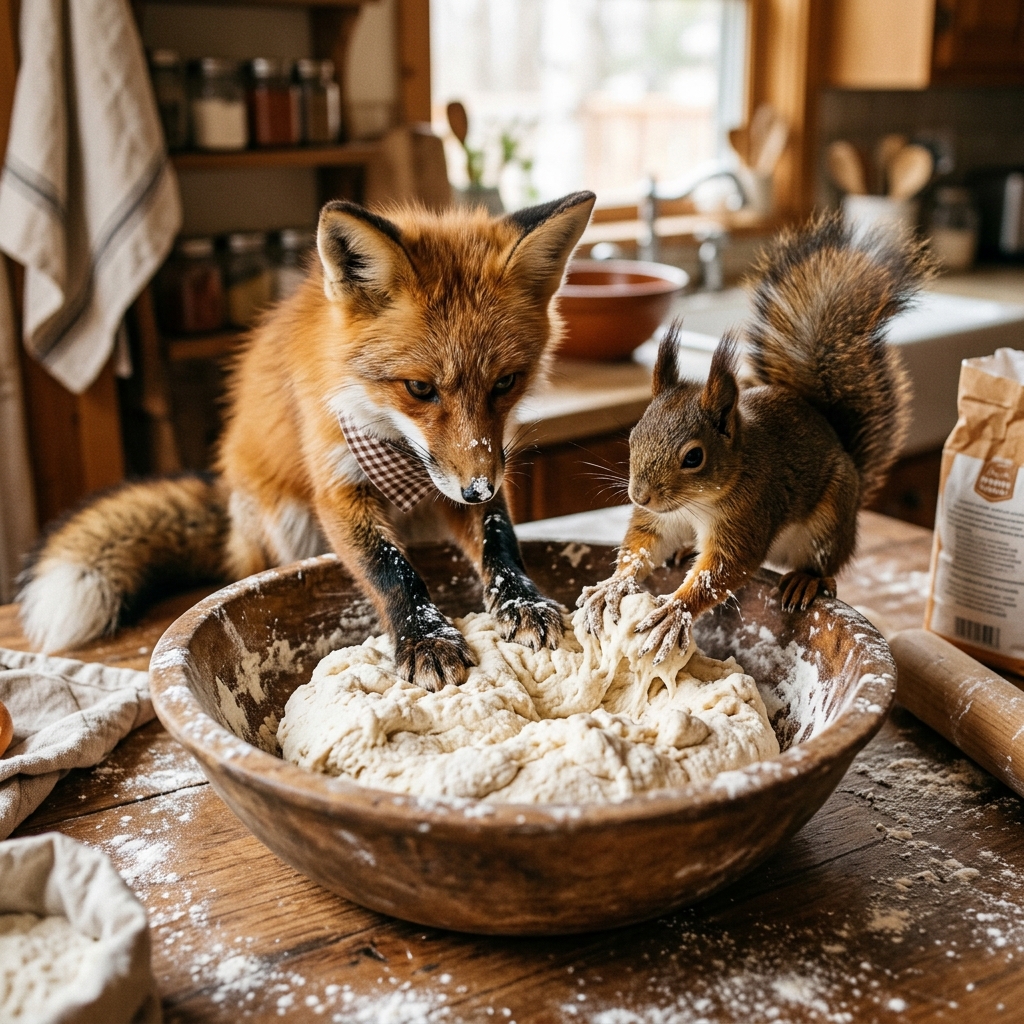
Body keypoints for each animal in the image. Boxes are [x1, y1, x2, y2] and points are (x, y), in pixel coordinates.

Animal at [19, 191, 597, 689]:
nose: (477, 490)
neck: (393, 442)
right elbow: (391, 569)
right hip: (288, 521)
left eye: (506, 383)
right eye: (419, 388)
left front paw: (523, 603)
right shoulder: (338, 486)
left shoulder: (477, 469)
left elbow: (501, 543)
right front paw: (426, 637)